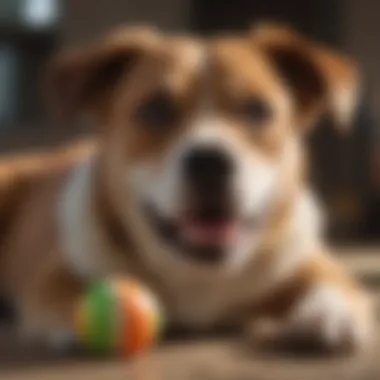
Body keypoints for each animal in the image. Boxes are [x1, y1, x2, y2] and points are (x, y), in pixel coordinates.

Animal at [0, 23, 374, 354]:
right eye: (155, 109)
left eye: (256, 109)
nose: (210, 162)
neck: (199, 278)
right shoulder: (55, 275)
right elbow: (61, 290)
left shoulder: (307, 260)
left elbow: (336, 283)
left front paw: (330, 313)